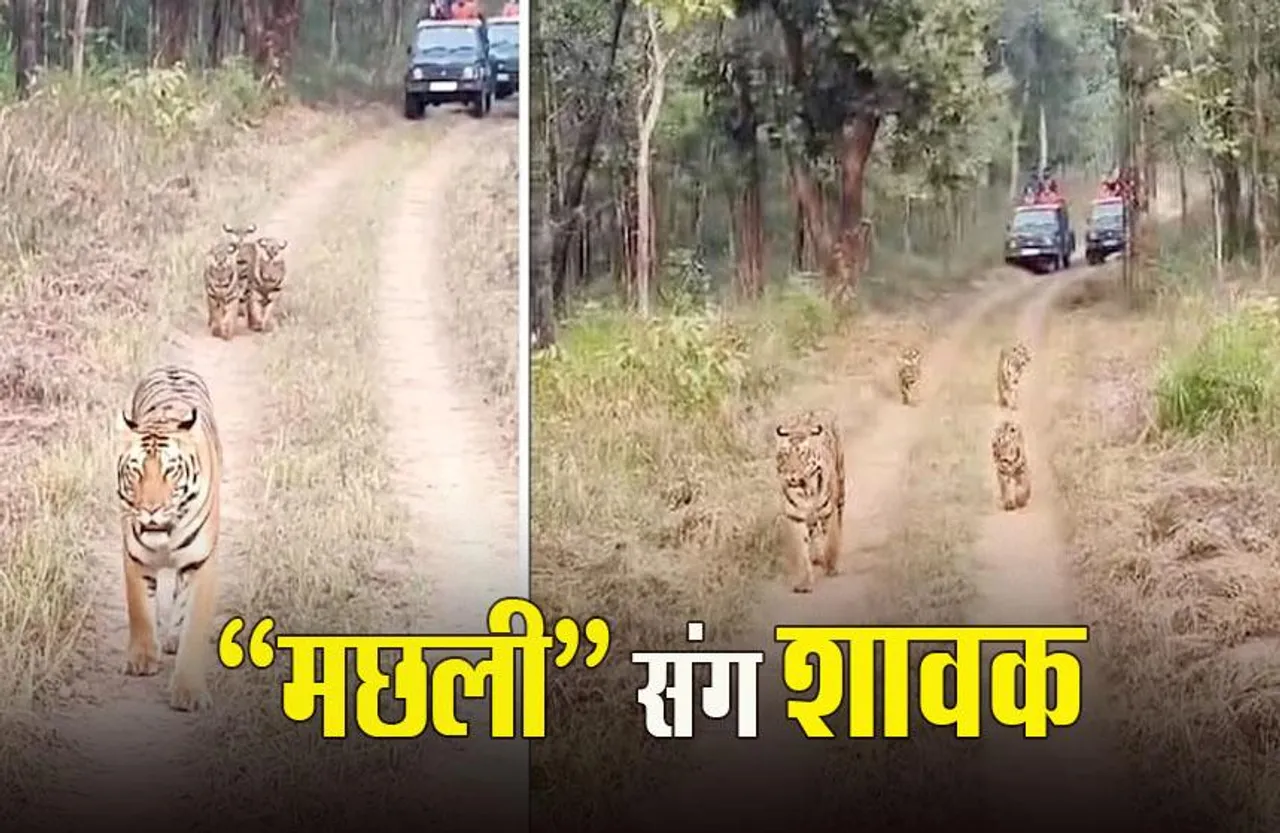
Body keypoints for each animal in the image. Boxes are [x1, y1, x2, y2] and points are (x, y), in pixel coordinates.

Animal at [116, 365, 223, 712]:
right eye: (135, 471)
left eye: (170, 472)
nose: (151, 509)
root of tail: (172, 368)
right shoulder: (134, 555)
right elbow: (139, 608)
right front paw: (142, 659)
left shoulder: (201, 563)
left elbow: (193, 625)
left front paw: (189, 692)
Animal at [775, 408, 846, 594]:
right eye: (785, 455)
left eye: (801, 454)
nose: (791, 476)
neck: (806, 489)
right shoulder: (795, 517)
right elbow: (801, 551)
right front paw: (804, 582)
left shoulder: (828, 512)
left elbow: (831, 540)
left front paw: (832, 566)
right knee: (814, 533)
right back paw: (817, 556)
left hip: (841, 487)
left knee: (839, 521)